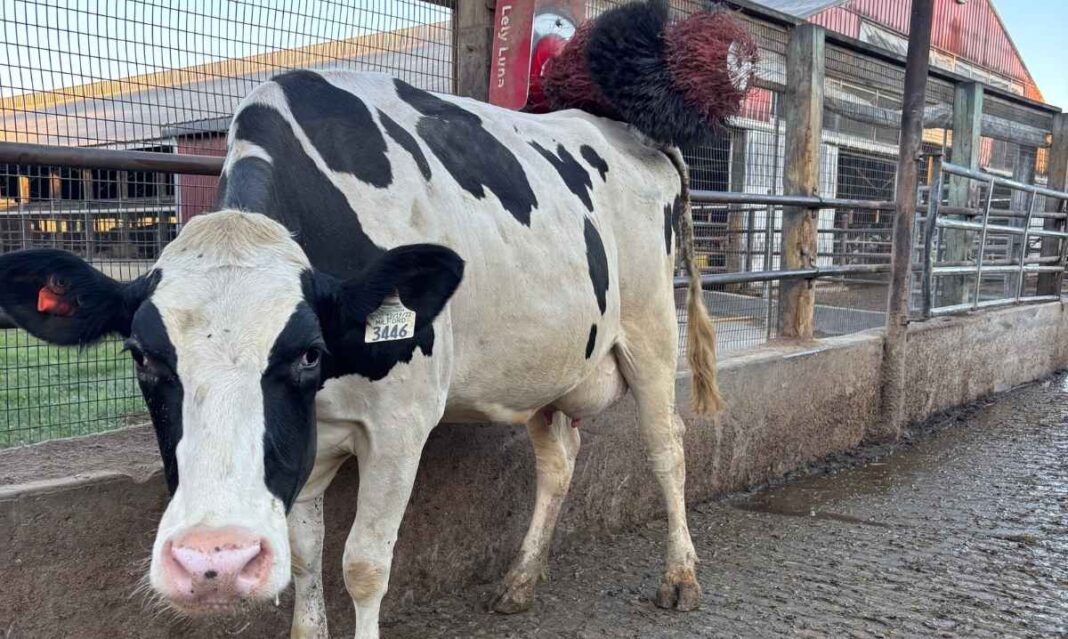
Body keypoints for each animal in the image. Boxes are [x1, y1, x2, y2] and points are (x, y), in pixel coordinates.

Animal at [0, 3, 755, 637]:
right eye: (143, 356)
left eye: (306, 351)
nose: (214, 560)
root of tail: (622, 129)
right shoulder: (308, 441)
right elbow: (305, 556)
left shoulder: (401, 422)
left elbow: (362, 564)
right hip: (552, 359)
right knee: (558, 461)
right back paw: (520, 580)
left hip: (651, 328)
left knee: (667, 445)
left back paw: (679, 576)